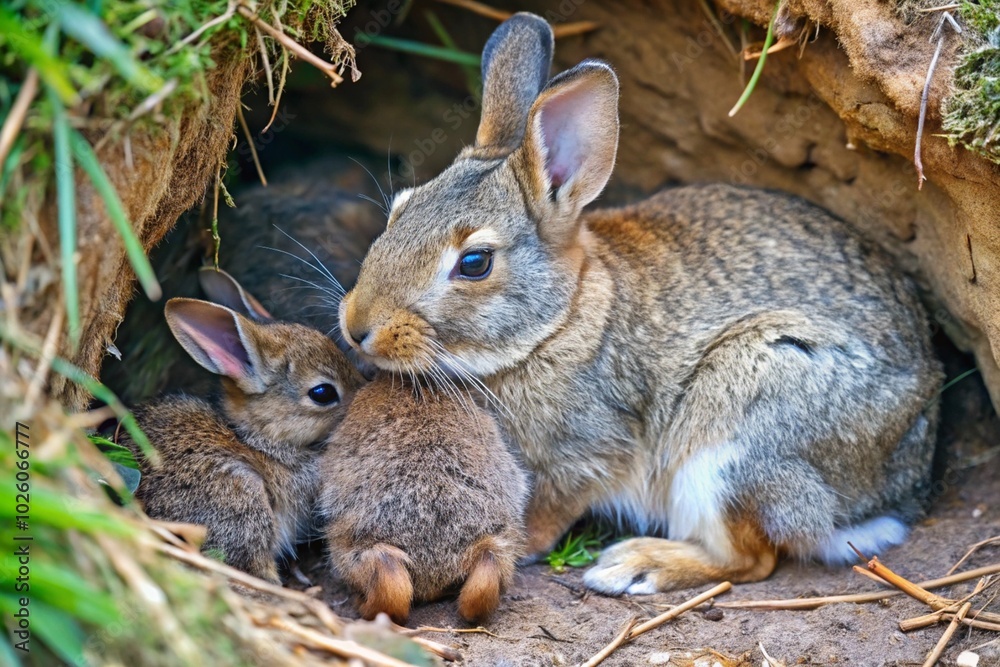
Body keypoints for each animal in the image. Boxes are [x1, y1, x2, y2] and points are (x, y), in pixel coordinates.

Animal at [334, 13, 944, 595]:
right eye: (400, 209)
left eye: (475, 263)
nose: (357, 327)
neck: (555, 324)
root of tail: (898, 489)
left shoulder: (587, 453)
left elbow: (550, 508)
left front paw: (519, 543)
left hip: (736, 425)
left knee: (751, 559)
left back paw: (632, 567)